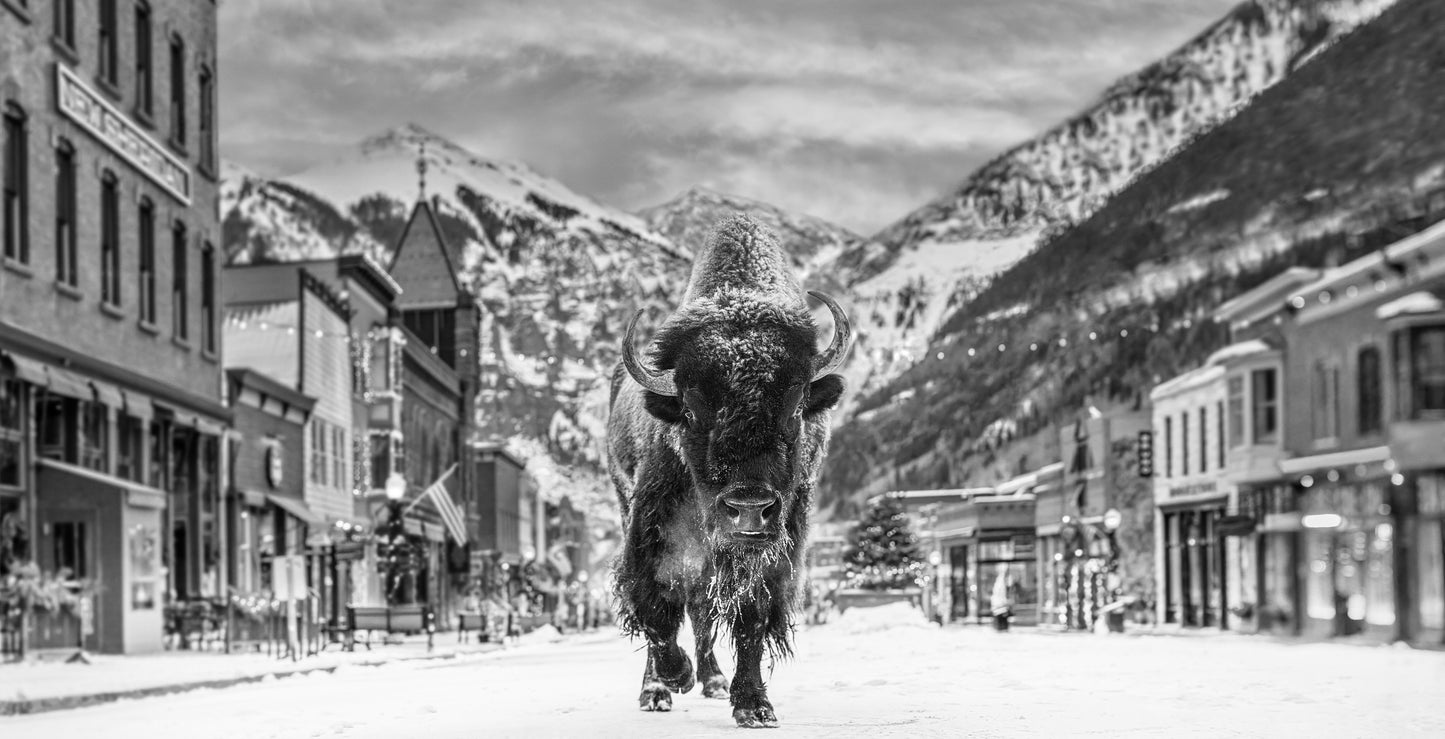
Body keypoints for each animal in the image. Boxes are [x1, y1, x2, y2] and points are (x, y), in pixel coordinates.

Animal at [606, 214, 849, 728]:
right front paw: (672, 678)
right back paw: (660, 689)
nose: (749, 509)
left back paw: (715, 681)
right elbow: (652, 606)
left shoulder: (775, 551)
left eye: (797, 407)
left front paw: (754, 705)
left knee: (701, 609)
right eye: (689, 410)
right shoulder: (648, 531)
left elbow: (751, 619)